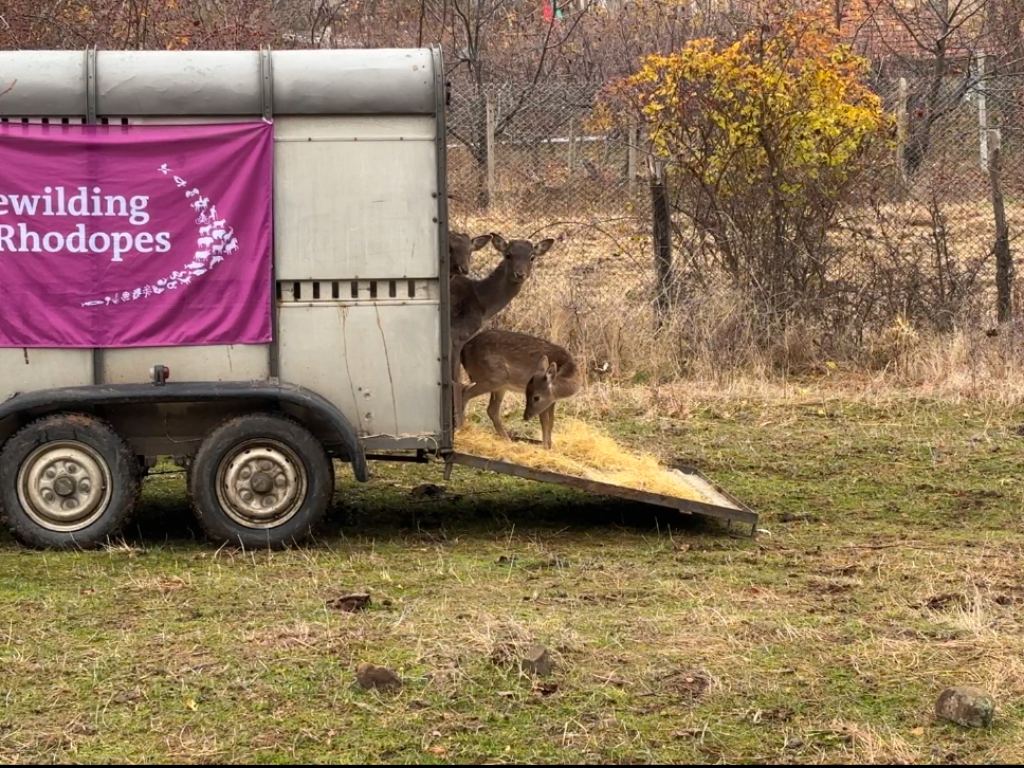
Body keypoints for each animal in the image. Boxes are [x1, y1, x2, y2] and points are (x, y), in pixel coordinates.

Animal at [450, 233, 557, 434]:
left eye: (532, 256)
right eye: (508, 254)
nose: (520, 274)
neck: (482, 305)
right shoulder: (458, 334)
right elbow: (456, 379)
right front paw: (459, 425)